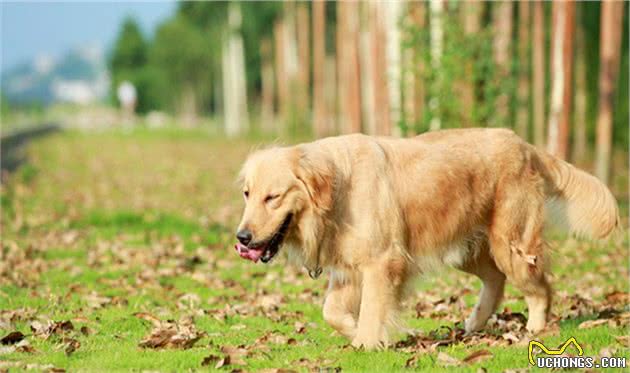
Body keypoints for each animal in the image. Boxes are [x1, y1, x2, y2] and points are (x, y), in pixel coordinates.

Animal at [235, 128, 620, 348]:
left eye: (273, 197)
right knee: (495, 280)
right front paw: (353, 330)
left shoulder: (382, 262)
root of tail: (524, 144)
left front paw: (366, 343)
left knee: (540, 287)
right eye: (247, 194)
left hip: (511, 243)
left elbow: (373, 309)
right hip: (466, 250)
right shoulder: (349, 268)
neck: (338, 191)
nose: (242, 238)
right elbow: (331, 311)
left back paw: (534, 329)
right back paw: (474, 324)